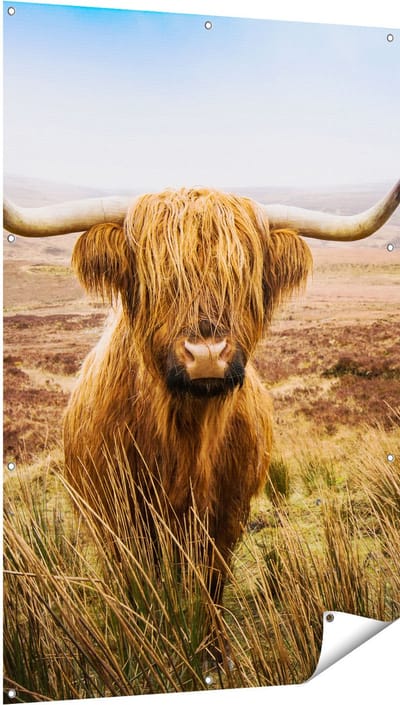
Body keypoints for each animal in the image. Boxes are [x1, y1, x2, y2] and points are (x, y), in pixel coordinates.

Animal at [3, 181, 400, 660]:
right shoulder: (120, 518)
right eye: (157, 277)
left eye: (243, 274)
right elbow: (142, 586)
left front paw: (213, 649)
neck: (185, 439)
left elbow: (211, 582)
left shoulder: (228, 514)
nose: (207, 354)